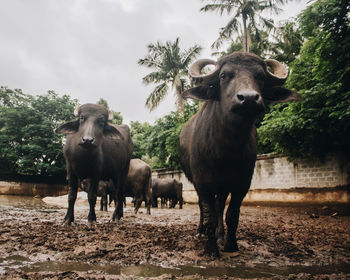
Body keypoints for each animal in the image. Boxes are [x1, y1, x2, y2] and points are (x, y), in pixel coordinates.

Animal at [179, 52, 302, 256]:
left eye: (260, 76)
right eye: (223, 76)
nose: (249, 98)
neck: (227, 148)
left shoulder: (242, 184)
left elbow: (232, 215)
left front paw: (230, 245)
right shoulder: (202, 182)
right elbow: (209, 214)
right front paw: (211, 249)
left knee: (220, 205)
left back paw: (220, 235)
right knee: (204, 207)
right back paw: (201, 231)